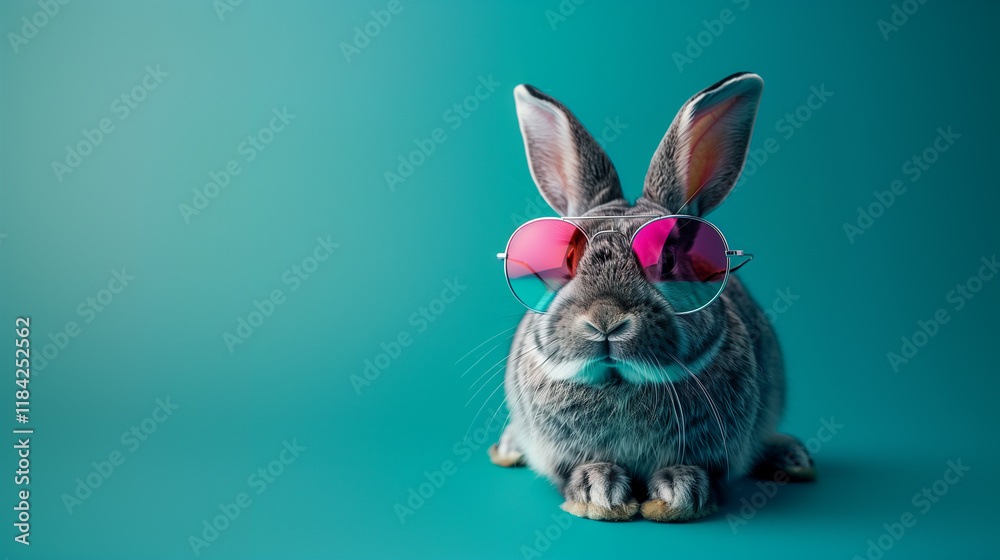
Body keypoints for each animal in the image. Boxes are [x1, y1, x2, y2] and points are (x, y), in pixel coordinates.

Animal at [488, 72, 815, 523]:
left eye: (669, 259)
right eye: (568, 259)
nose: (605, 319)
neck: (620, 381)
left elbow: (694, 470)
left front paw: (680, 491)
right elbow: (582, 469)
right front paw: (598, 491)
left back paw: (792, 456)